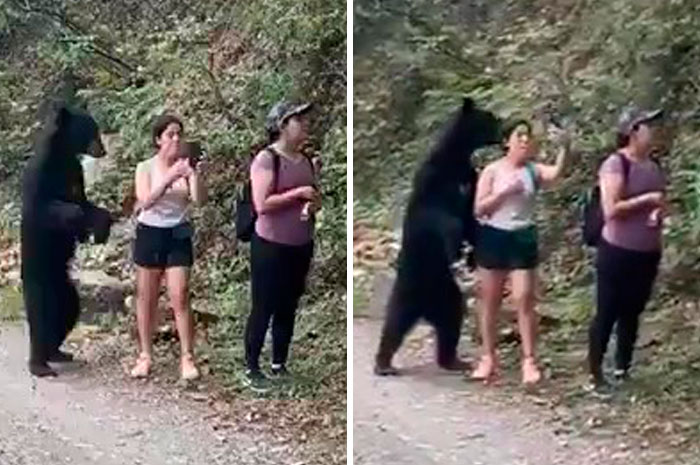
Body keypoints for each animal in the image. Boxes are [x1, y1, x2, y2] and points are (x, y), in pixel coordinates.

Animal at [21, 101, 113, 377]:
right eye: (91, 130)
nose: (103, 149)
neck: (61, 154)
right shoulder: (40, 174)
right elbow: (44, 208)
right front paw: (75, 217)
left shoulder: (75, 171)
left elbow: (88, 204)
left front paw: (101, 227)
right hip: (36, 280)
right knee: (39, 319)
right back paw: (39, 364)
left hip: (65, 288)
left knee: (68, 310)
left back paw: (57, 352)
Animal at [374, 97, 502, 375]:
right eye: (490, 117)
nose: (504, 128)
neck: (455, 158)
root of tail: (426, 309)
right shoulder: (432, 183)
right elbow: (440, 217)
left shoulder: (470, 179)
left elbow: (471, 219)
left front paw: (473, 254)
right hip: (410, 290)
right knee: (394, 323)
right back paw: (383, 363)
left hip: (447, 296)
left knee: (451, 322)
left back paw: (453, 360)